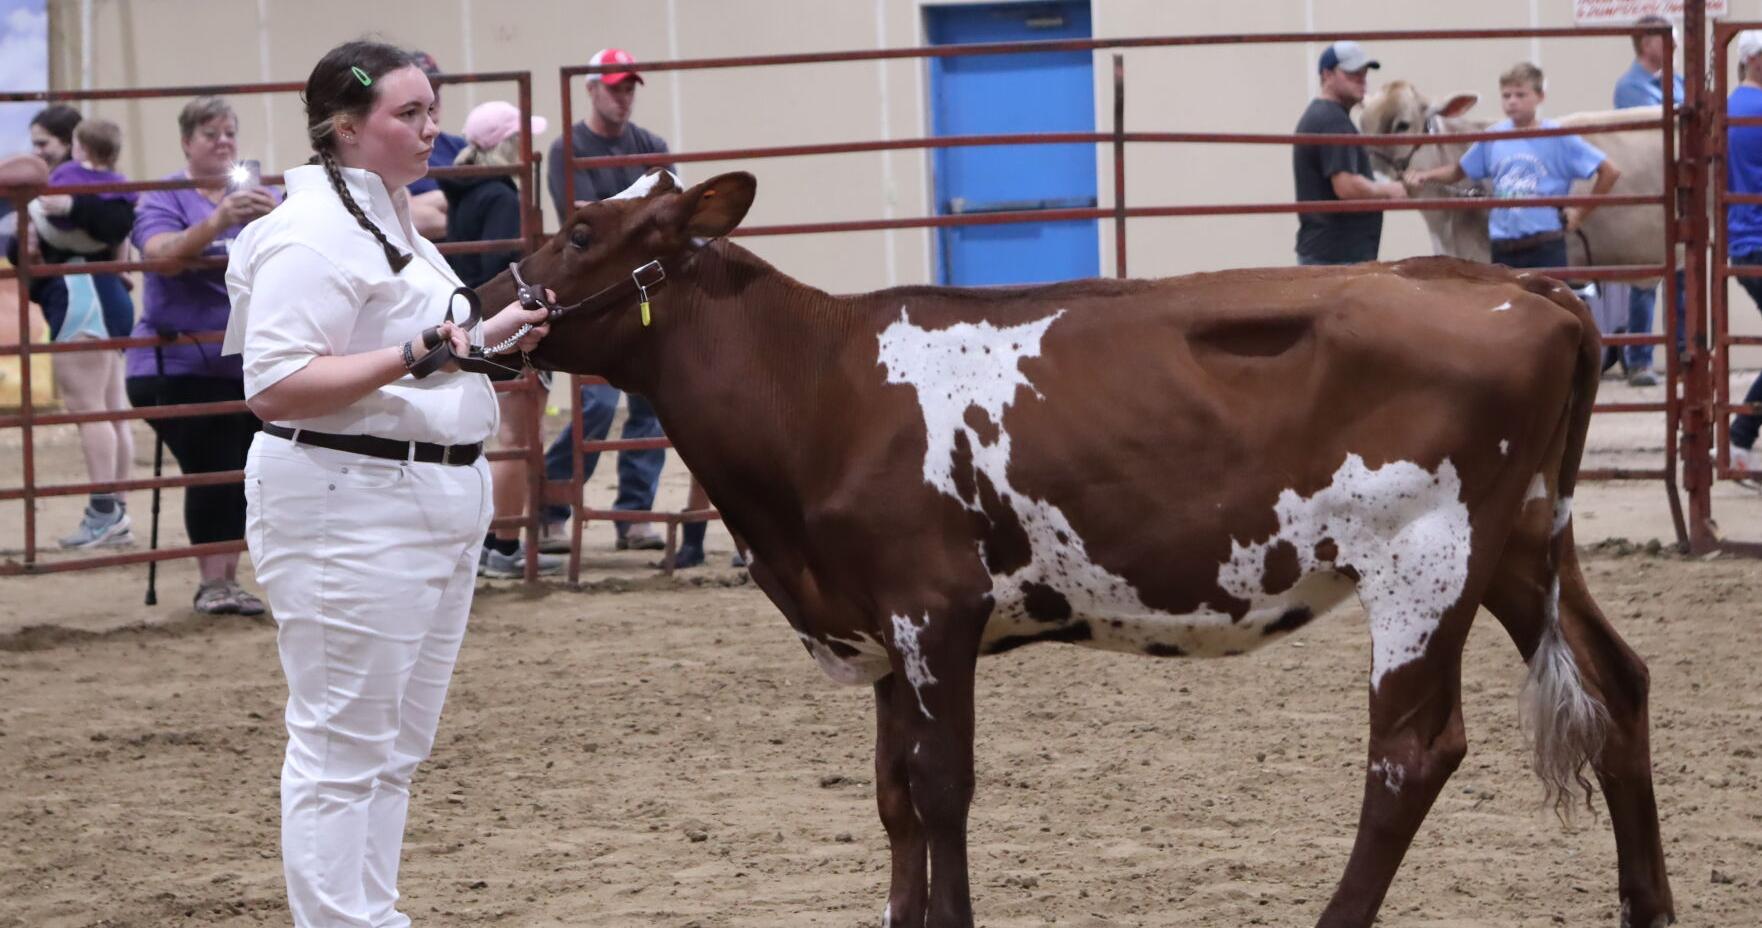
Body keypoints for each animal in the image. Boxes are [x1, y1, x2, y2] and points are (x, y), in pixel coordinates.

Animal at [476, 170, 1674, 928]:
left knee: (1410, 754)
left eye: (580, 232)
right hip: (1525, 541)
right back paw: (1648, 905)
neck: (821, 388)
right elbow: (892, 794)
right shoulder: (876, 622)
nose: (478, 300)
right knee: (1617, 685)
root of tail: (1520, 286)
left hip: (1428, 557)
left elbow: (941, 787)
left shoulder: (932, 610)